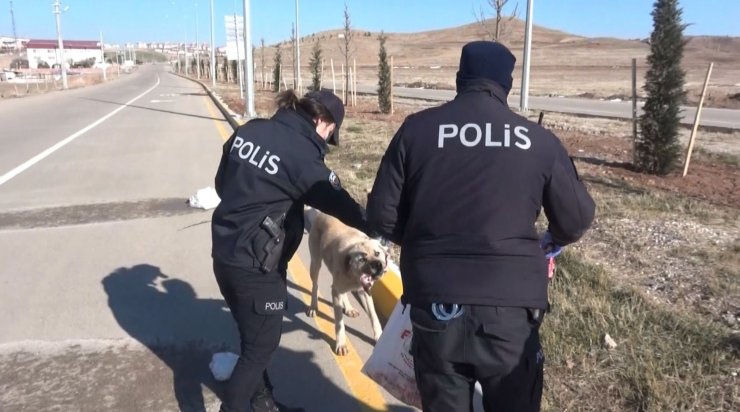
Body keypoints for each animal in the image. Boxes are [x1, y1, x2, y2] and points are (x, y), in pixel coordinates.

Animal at [304, 211, 388, 356]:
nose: (378, 265)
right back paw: (314, 306)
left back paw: (348, 307)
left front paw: (379, 335)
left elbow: (374, 315)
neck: (353, 275)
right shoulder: (336, 292)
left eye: (378, 253)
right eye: (362, 259)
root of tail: (321, 214)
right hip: (315, 264)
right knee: (315, 285)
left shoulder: (365, 291)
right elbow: (339, 322)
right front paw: (341, 343)